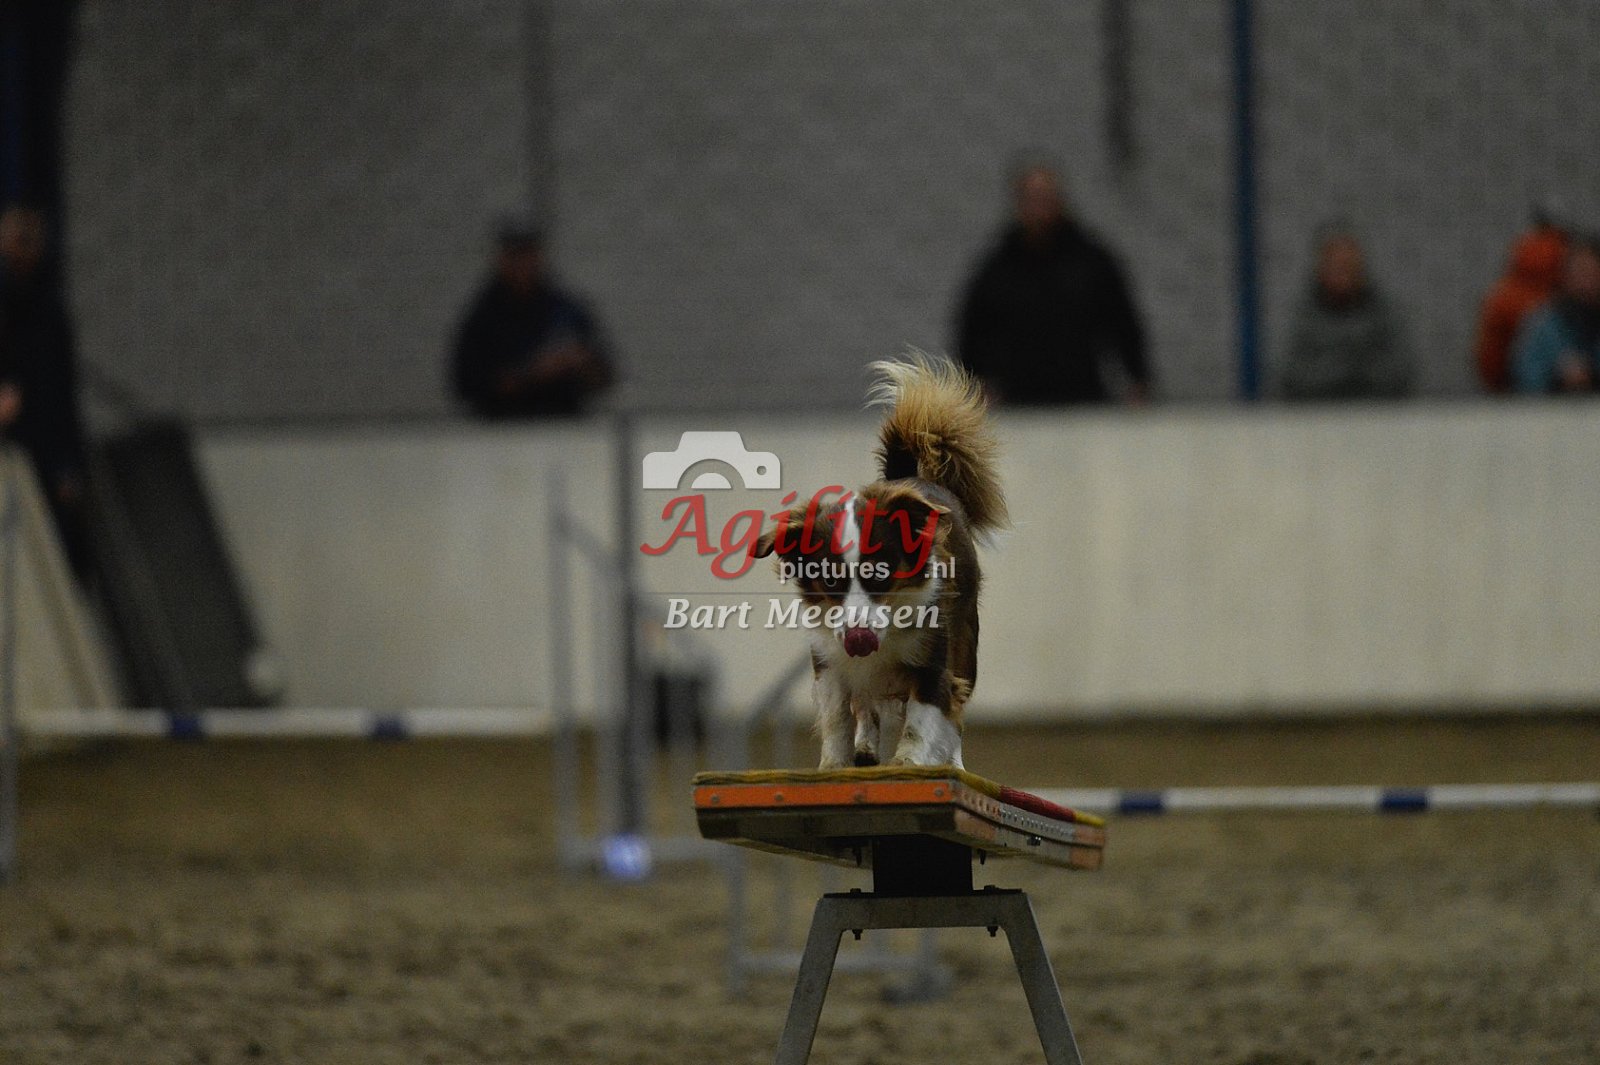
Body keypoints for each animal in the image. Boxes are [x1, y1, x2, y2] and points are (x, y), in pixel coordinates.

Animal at [753, 354, 1007, 769]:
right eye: (830, 581)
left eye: (881, 575)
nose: (859, 634)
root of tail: (914, 478)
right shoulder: (830, 662)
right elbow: (838, 716)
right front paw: (834, 766)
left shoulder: (931, 661)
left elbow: (923, 719)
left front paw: (908, 763)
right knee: (870, 710)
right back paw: (867, 747)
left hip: (965, 641)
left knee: (953, 707)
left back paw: (951, 763)